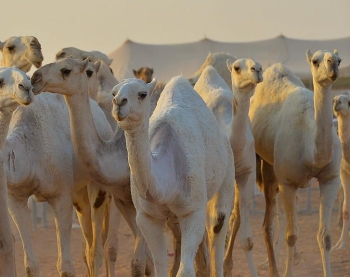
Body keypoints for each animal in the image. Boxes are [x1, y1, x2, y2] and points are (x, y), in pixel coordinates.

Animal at [110, 74, 234, 274]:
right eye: (113, 92)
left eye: (142, 94)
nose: (119, 103)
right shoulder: (147, 217)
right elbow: (161, 268)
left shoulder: (193, 212)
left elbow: (186, 271)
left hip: (228, 169)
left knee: (218, 222)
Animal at [249, 49, 342, 276]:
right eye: (315, 61)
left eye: (339, 59)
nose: (332, 66)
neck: (311, 153)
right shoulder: (288, 183)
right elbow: (291, 235)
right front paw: (287, 272)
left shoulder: (331, 179)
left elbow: (325, 236)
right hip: (264, 164)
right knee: (268, 223)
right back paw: (272, 268)